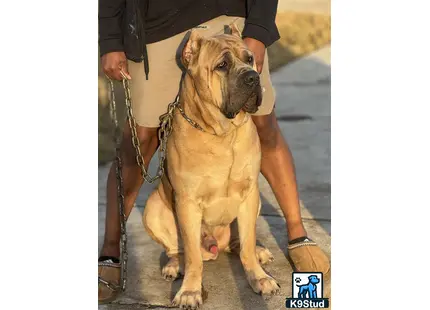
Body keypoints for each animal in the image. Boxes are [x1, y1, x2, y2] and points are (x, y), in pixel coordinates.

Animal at [143, 24, 280, 310]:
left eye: (250, 59)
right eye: (222, 65)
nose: (252, 77)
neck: (221, 133)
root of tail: (216, 245)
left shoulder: (249, 193)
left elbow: (247, 242)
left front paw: (259, 278)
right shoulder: (186, 202)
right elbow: (193, 256)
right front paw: (190, 292)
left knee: (240, 241)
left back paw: (256, 251)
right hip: (153, 207)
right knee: (177, 249)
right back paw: (174, 266)